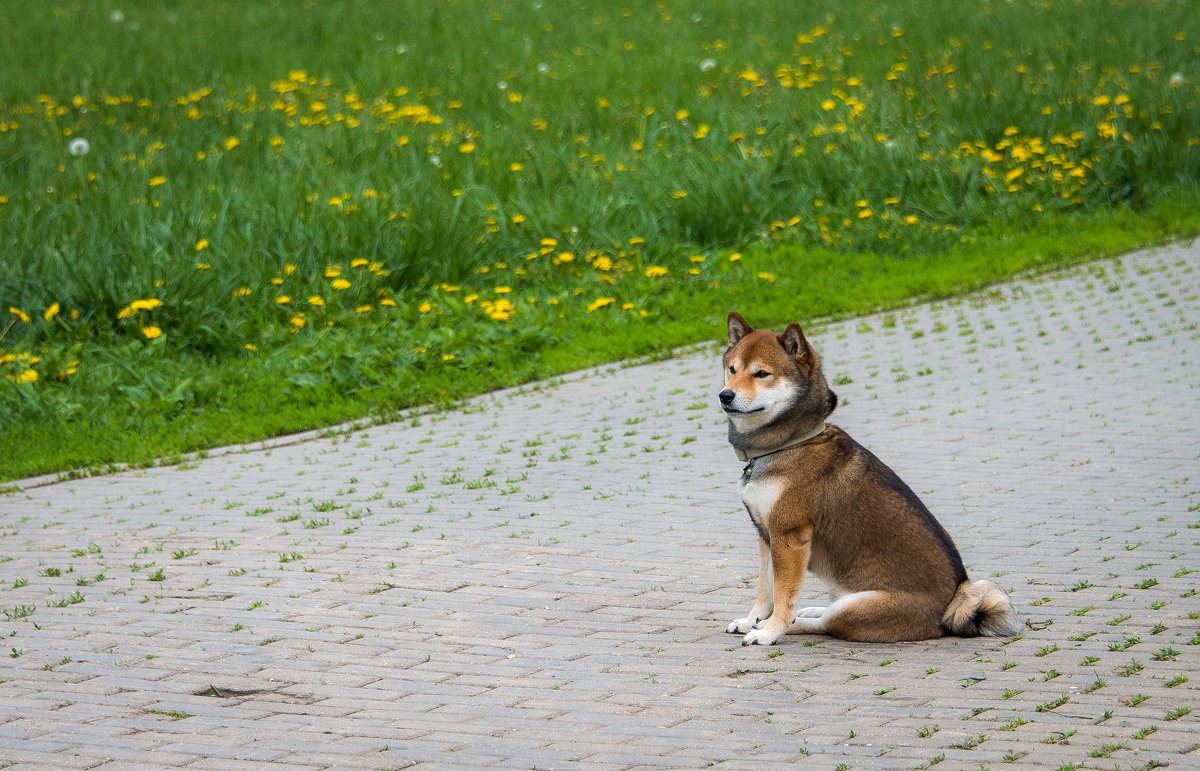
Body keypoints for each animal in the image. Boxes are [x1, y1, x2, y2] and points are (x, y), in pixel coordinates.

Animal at [715, 307, 1017, 643]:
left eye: (762, 374)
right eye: (732, 369)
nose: (725, 395)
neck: (791, 442)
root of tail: (949, 611)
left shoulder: (789, 536)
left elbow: (782, 594)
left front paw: (769, 631)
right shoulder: (766, 534)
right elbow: (765, 590)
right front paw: (751, 619)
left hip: (857, 607)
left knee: (826, 623)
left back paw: (794, 623)